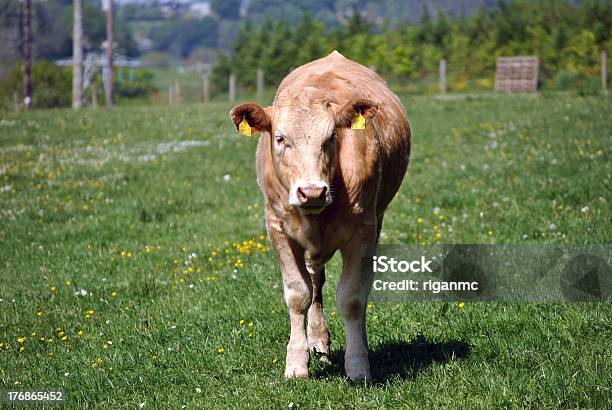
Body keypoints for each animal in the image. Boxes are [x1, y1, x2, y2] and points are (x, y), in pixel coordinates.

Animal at [230, 51, 412, 382]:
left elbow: (352, 297)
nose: (312, 192)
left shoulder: (364, 230)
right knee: (315, 282)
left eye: (330, 138)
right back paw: (318, 341)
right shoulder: (277, 228)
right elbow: (298, 294)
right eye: (280, 138)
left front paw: (358, 364)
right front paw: (296, 362)